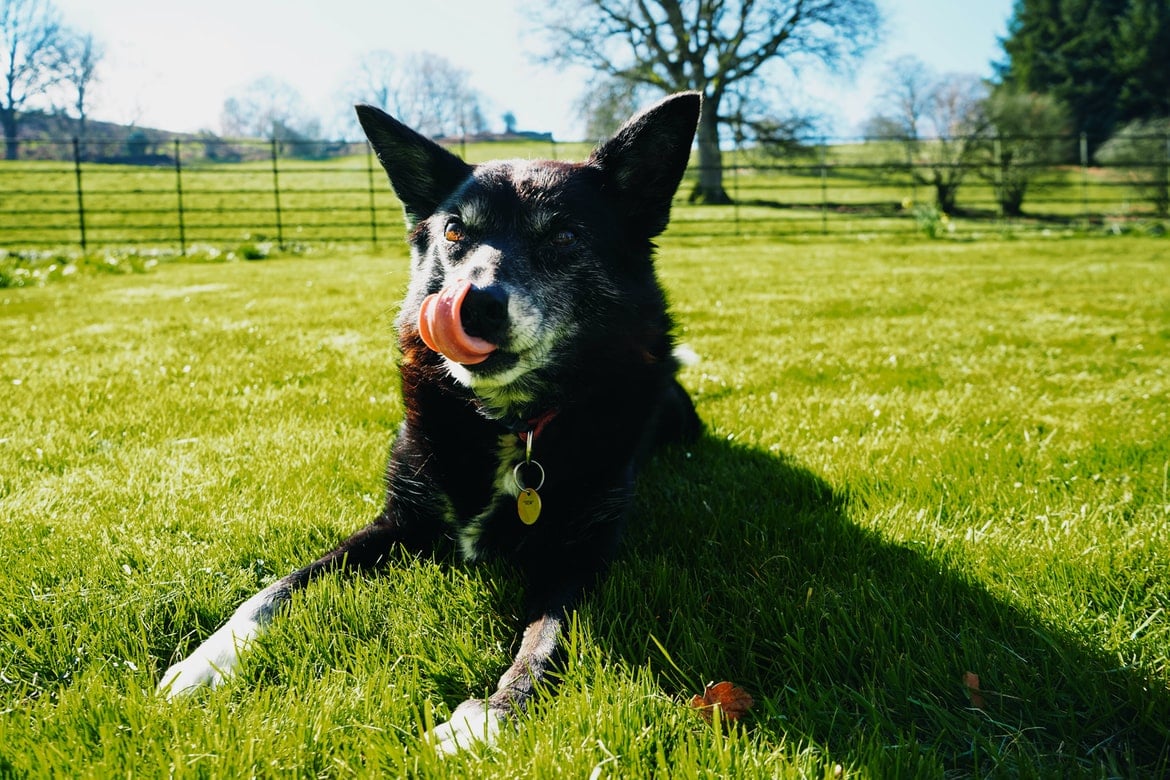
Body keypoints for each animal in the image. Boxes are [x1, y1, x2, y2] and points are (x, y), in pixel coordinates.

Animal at [159, 91, 697, 757]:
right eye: (453, 230)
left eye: (566, 235)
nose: (473, 304)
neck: (509, 424)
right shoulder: (398, 521)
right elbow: (275, 589)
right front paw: (209, 659)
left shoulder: (580, 554)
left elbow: (544, 642)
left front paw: (489, 718)